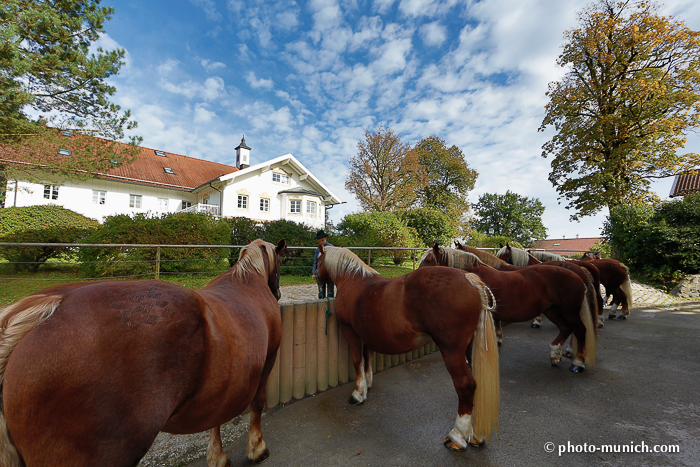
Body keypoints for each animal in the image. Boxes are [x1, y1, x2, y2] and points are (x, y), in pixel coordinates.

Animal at [0, 239, 288, 467]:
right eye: (281, 263)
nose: (277, 292)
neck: (247, 280)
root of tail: (48, 308)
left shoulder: (224, 385)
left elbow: (215, 417)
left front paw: (217, 456)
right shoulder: (268, 361)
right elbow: (257, 404)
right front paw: (256, 447)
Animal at [314, 247, 500, 452]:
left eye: (319, 259)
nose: (316, 276)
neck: (352, 279)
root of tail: (469, 278)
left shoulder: (350, 332)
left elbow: (357, 361)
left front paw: (358, 394)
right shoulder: (366, 334)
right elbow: (367, 358)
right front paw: (367, 384)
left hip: (452, 351)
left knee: (466, 385)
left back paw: (457, 437)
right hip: (468, 348)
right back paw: (475, 435)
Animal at [422, 247, 596, 374]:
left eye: (429, 260)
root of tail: (578, 275)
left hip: (571, 311)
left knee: (580, 330)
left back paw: (578, 363)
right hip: (551, 310)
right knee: (565, 328)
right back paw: (555, 355)